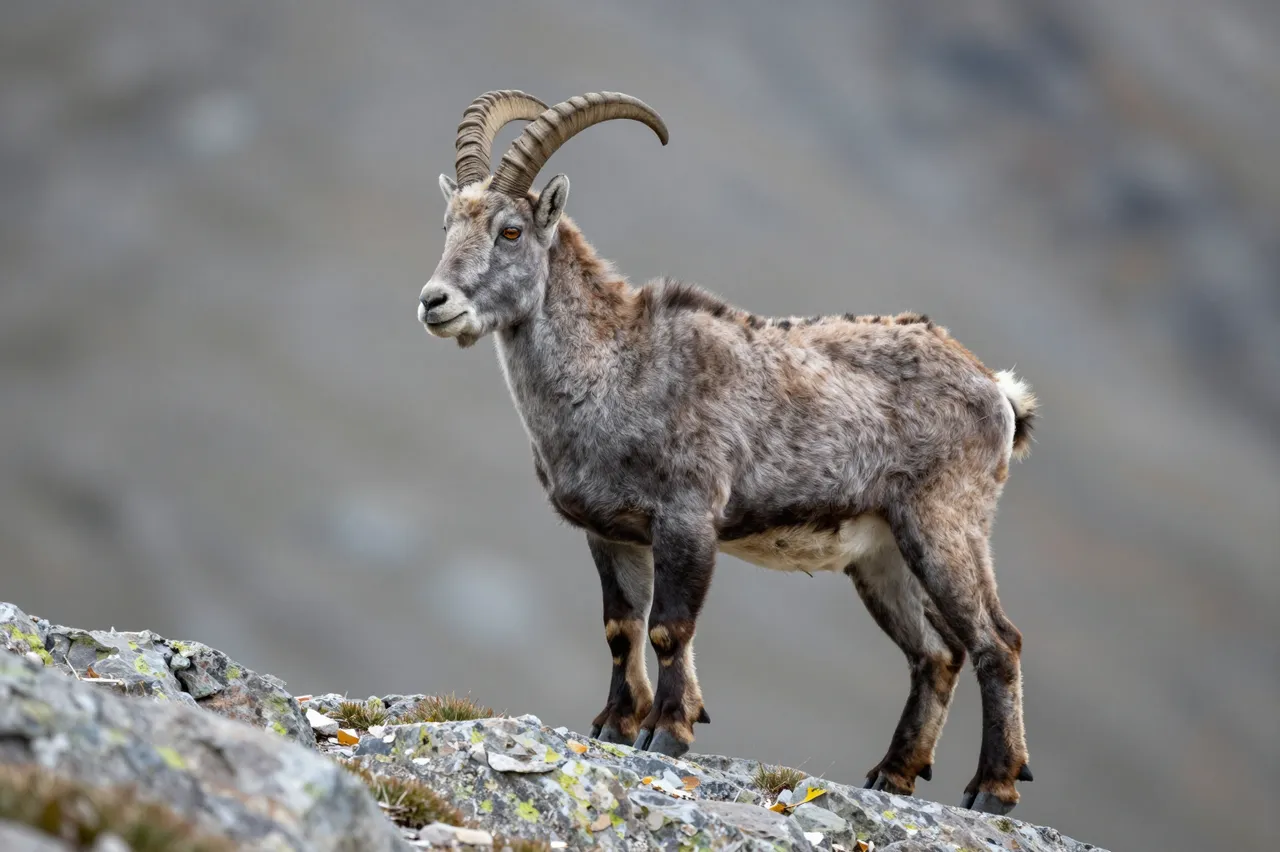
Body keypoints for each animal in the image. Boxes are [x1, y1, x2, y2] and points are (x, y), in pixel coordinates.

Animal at [418, 90, 1038, 816]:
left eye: (511, 231)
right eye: (447, 226)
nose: (434, 302)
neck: (614, 369)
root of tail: (998, 391)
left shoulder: (688, 518)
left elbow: (669, 628)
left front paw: (668, 730)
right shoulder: (613, 534)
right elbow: (621, 628)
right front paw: (615, 725)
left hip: (944, 526)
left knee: (997, 642)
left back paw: (992, 788)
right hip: (880, 553)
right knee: (935, 655)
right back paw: (893, 774)